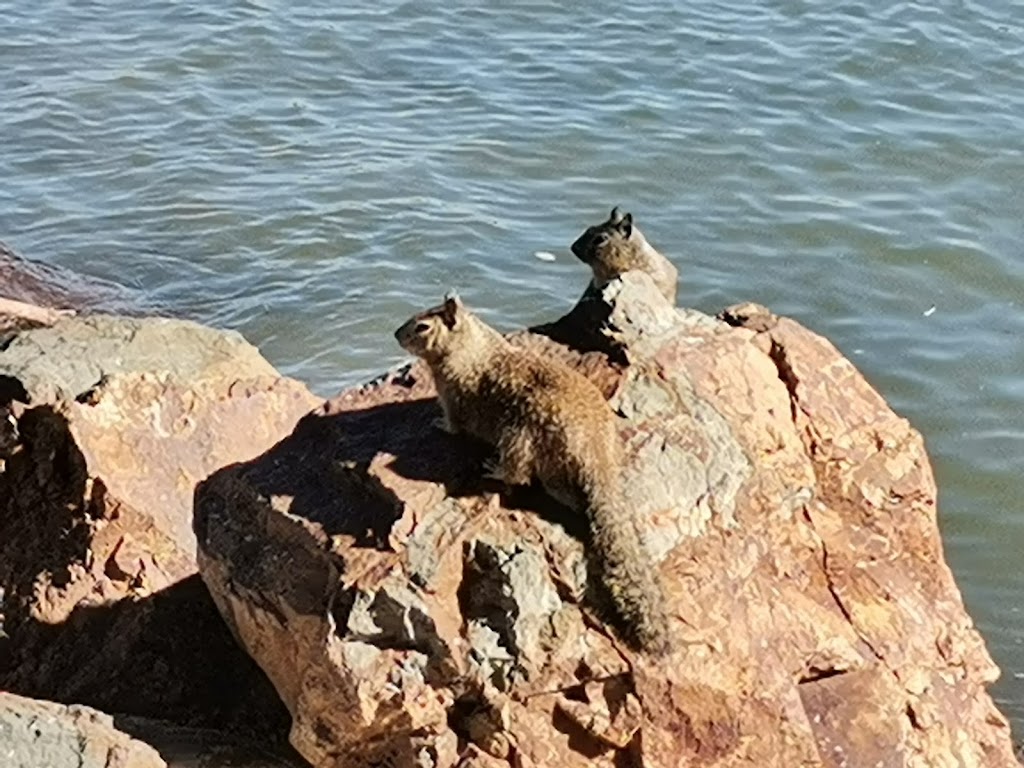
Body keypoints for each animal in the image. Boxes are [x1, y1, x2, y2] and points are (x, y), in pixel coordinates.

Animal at [393, 294, 671, 655]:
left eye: (423, 327)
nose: (396, 334)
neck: (471, 345)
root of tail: (599, 460)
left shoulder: (451, 399)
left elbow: (452, 425)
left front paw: (437, 423)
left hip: (519, 438)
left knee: (522, 476)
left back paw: (496, 469)